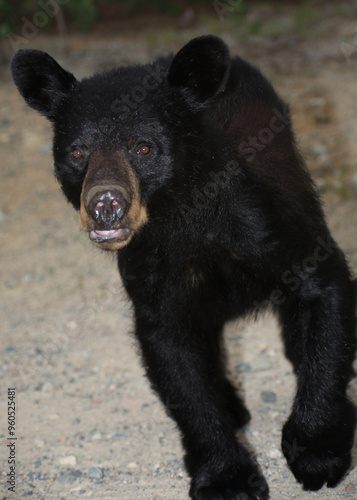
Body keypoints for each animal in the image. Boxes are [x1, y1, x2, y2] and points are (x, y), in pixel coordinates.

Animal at [11, 36, 356, 500]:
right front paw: (227, 478)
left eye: (143, 147)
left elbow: (322, 295)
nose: (104, 205)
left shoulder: (264, 225)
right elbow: (178, 367)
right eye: (77, 152)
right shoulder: (151, 274)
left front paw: (317, 453)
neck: (182, 221)